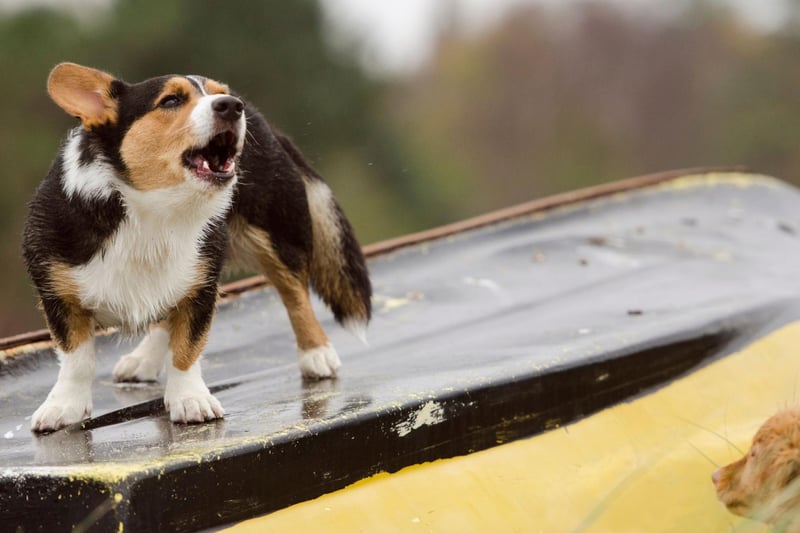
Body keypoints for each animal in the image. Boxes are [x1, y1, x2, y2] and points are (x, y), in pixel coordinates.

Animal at [22, 63, 372, 432]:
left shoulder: (203, 286)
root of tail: (264, 121)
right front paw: (64, 406)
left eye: (220, 93)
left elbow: (186, 348)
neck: (154, 212)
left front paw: (190, 400)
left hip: (277, 236)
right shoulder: (59, 296)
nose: (231, 106)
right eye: (171, 100)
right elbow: (77, 359)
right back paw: (143, 360)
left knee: (295, 294)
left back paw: (317, 353)